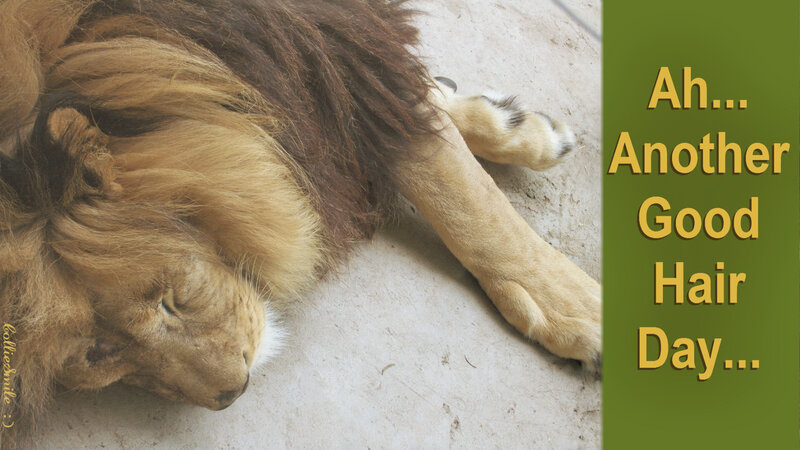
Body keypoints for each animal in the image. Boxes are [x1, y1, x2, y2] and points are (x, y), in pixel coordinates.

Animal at [0, 0, 601, 446]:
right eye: (100, 355)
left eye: (167, 299)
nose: (233, 391)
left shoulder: (322, 40)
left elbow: (461, 194)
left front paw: (572, 308)